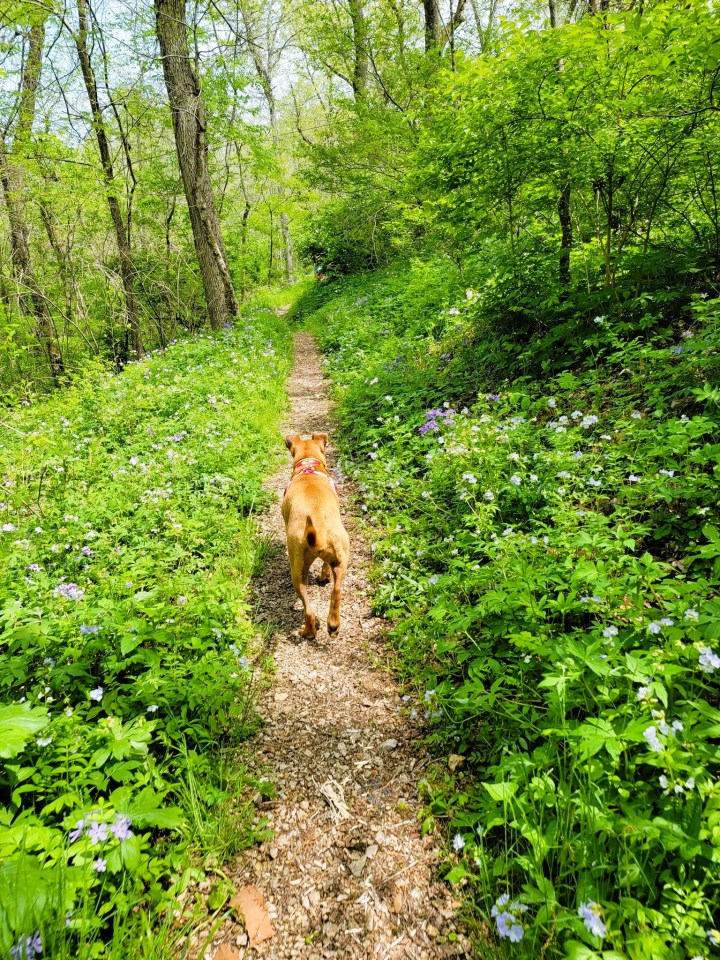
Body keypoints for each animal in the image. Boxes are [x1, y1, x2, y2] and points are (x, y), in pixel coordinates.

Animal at [280, 434, 350, 636]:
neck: (308, 465)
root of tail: (316, 515)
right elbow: (325, 565)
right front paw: (324, 576)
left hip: (296, 571)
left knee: (309, 611)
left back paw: (307, 632)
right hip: (342, 555)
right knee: (336, 590)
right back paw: (333, 624)